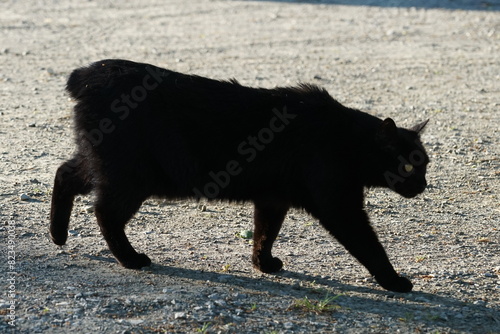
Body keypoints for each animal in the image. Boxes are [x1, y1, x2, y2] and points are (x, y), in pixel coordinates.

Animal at [48, 59, 428, 292]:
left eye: (425, 164)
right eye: (408, 166)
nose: (423, 185)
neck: (346, 138)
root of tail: (90, 73)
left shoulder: (273, 199)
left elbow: (265, 233)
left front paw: (263, 264)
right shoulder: (340, 206)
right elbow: (369, 246)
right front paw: (394, 281)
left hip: (102, 164)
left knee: (64, 173)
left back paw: (58, 235)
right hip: (130, 177)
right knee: (105, 212)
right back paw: (130, 259)